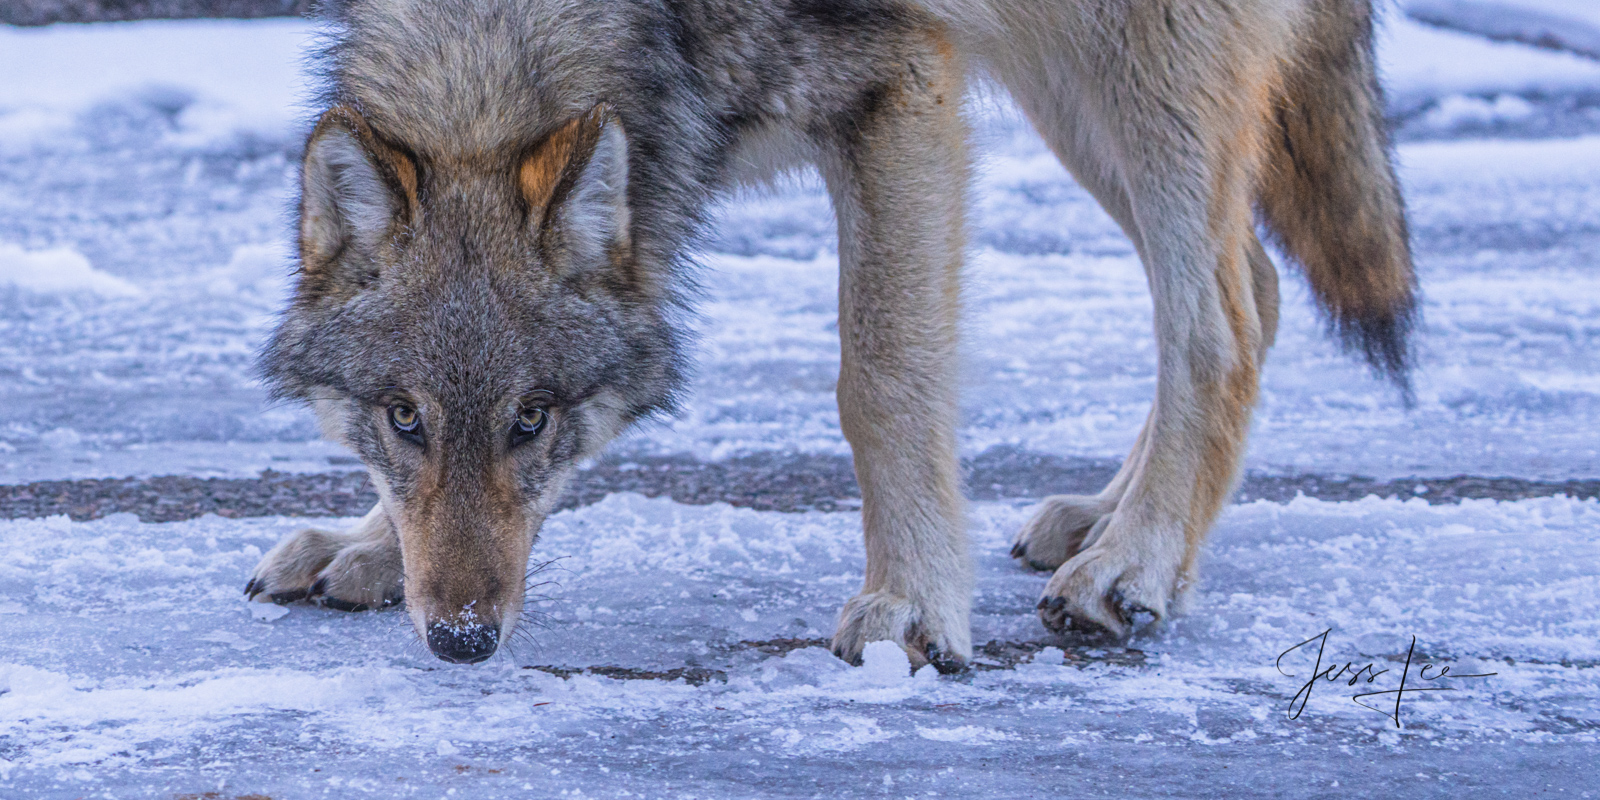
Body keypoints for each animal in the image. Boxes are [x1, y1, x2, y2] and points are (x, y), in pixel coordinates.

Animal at [240, 0, 1414, 672]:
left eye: (533, 419)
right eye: (404, 417)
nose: (463, 641)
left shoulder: (901, 90)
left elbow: (881, 377)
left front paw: (912, 604)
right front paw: (367, 546)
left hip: (1142, 69)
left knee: (1218, 322)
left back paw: (1134, 562)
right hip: (1075, 93)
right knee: (1257, 282)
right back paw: (1099, 518)